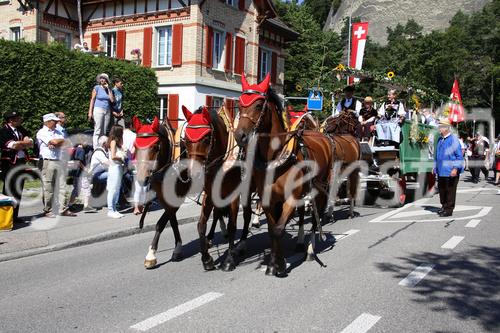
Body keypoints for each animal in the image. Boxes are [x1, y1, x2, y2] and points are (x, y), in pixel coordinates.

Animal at [182, 105, 254, 272]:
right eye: (186, 139)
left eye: (207, 138)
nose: (194, 174)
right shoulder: (210, 194)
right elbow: (201, 224)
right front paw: (206, 258)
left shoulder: (233, 195)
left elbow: (233, 225)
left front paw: (229, 259)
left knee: (247, 215)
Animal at [233, 73, 334, 278]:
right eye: (239, 104)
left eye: (258, 105)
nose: (240, 136)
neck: (276, 156)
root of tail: (322, 136)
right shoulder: (268, 198)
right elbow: (273, 229)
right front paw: (273, 263)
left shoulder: (291, 198)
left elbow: (279, 228)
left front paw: (278, 265)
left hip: (321, 187)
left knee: (315, 218)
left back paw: (310, 249)